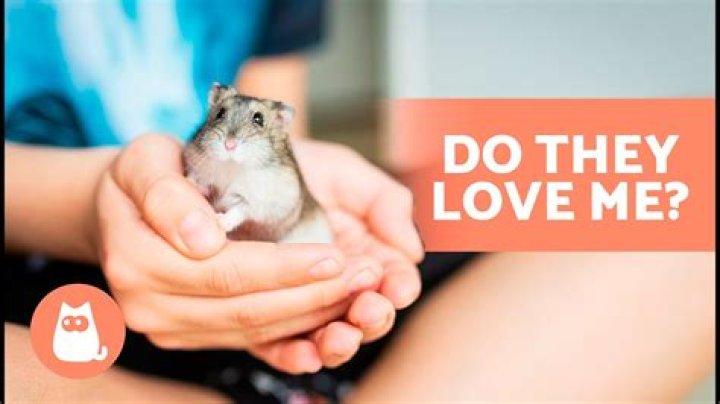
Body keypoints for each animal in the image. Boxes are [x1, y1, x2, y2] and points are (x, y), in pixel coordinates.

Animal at [183, 83, 333, 244]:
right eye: (220, 113)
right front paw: (193, 185)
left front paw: (220, 222)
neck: (232, 165)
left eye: (258, 119)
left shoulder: (260, 201)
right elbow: (195, 178)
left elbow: (240, 210)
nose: (229, 145)